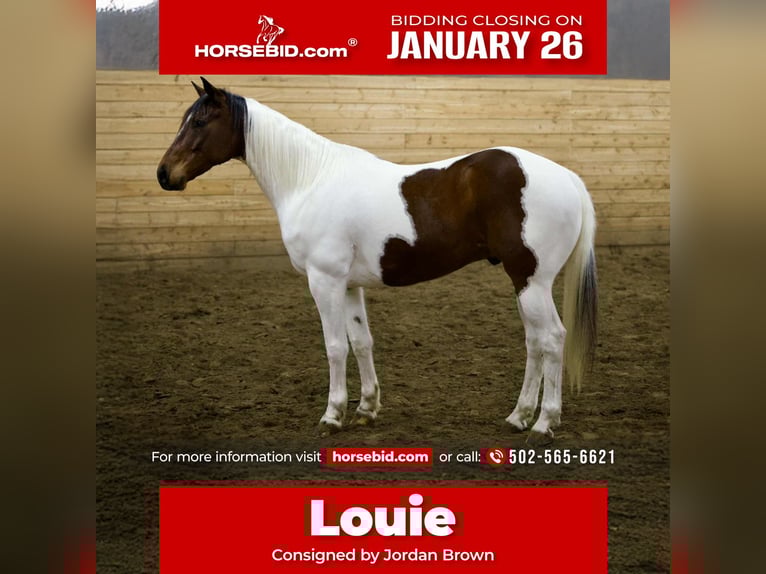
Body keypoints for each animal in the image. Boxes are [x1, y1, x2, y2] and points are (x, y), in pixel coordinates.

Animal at [157, 78, 598, 445]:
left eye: (199, 121)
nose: (164, 174)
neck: (309, 179)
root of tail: (567, 177)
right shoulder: (349, 284)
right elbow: (361, 342)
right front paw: (366, 409)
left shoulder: (324, 281)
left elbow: (335, 346)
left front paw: (332, 415)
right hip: (524, 283)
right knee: (535, 342)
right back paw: (519, 416)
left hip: (531, 281)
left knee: (552, 339)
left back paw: (544, 423)